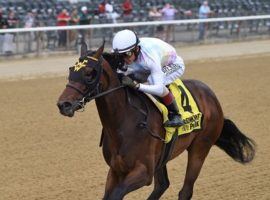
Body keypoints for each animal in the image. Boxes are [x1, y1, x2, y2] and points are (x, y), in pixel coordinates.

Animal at [57, 43, 255, 199]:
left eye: (90, 73)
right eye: (71, 70)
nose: (63, 104)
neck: (124, 124)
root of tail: (212, 97)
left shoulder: (144, 173)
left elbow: (116, 194)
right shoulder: (115, 170)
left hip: (200, 148)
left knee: (185, 191)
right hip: (163, 157)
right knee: (162, 185)